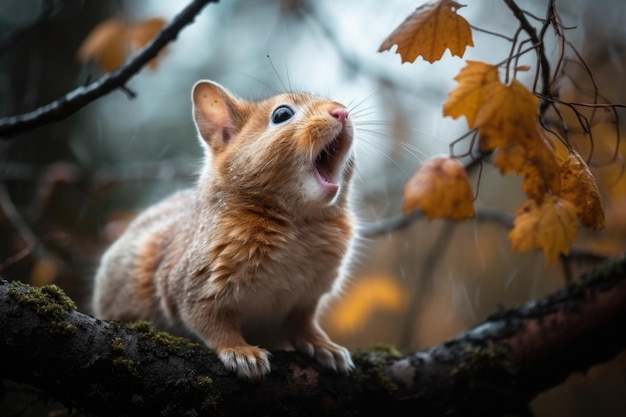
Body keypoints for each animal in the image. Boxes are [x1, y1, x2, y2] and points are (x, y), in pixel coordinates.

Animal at [92, 79, 356, 380]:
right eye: (281, 115)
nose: (342, 112)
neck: (299, 223)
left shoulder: (306, 297)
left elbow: (303, 324)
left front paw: (325, 346)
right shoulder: (197, 284)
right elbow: (210, 321)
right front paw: (240, 353)